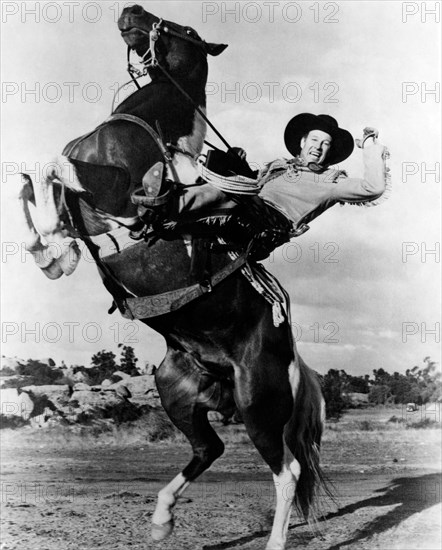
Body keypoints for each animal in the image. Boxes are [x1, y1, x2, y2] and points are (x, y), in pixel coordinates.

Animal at [19, 5, 326, 550]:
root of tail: (292, 357)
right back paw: (162, 517)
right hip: (178, 395)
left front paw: (52, 246)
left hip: (258, 404)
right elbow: (44, 187)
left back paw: (271, 538)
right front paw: (48, 249)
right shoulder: (87, 211)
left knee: (285, 471)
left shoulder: (117, 196)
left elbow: (56, 168)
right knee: (209, 449)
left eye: (185, 31)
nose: (132, 12)